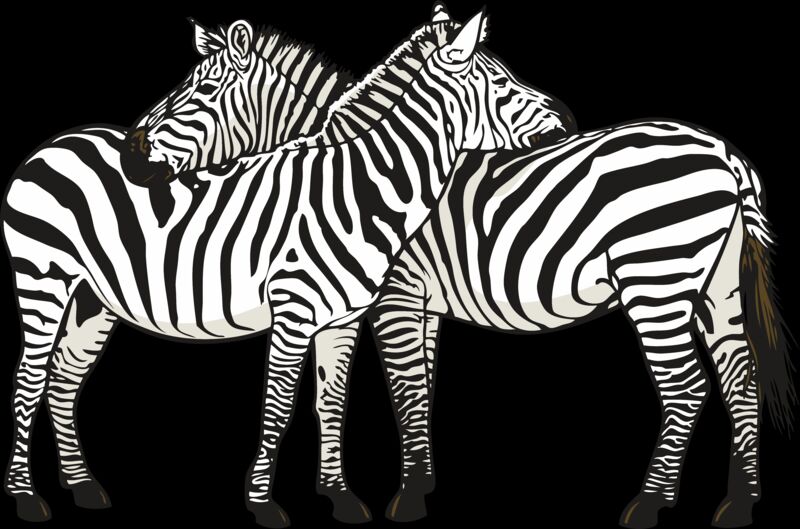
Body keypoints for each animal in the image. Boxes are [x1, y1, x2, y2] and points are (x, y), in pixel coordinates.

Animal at [3, 8, 573, 528]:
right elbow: (283, 405)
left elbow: (333, 400)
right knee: (29, 378)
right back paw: (26, 498)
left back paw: (83, 487)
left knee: (63, 379)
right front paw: (265, 505)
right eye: (502, 82)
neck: (360, 188)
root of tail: (55, 143)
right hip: (43, 278)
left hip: (92, 299)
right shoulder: (305, 309)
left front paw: (342, 497)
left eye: (202, 89)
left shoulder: (346, 316)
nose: (565, 121)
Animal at [308, 120, 795, 528]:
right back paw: (739, 502)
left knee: (686, 387)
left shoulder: (397, 294)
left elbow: (406, 390)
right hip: (717, 282)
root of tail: (724, 153)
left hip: (657, 276)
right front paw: (422, 482)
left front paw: (407, 497)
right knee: (741, 379)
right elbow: (420, 387)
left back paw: (650, 502)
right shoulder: (421, 301)